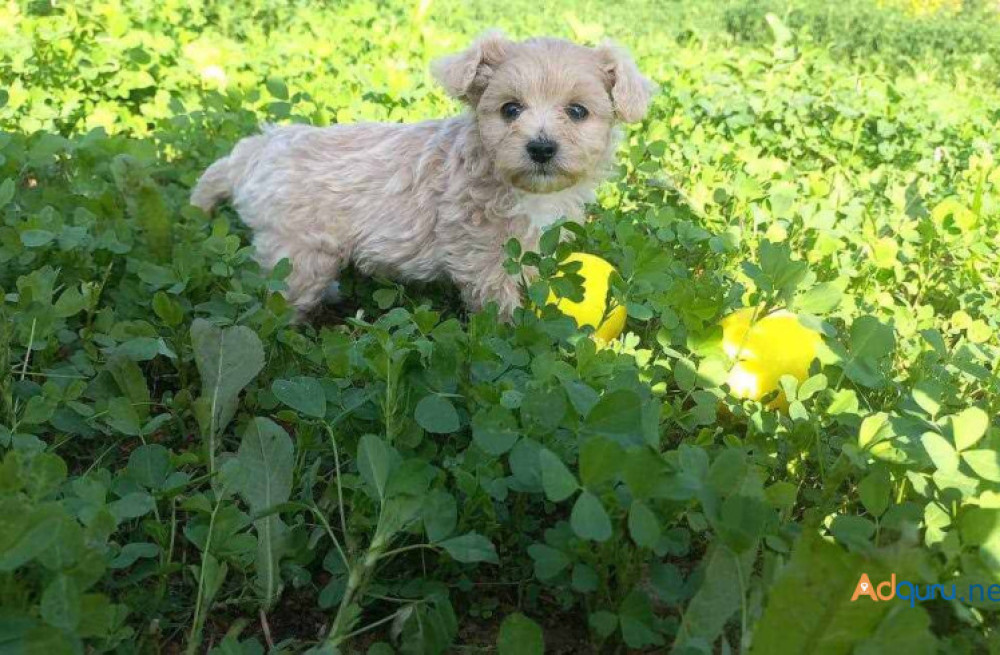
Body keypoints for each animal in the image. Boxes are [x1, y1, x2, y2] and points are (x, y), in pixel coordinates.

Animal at [190, 32, 652, 318]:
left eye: (577, 111)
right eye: (510, 109)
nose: (541, 148)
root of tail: (257, 151)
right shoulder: (483, 257)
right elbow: (502, 306)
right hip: (298, 254)